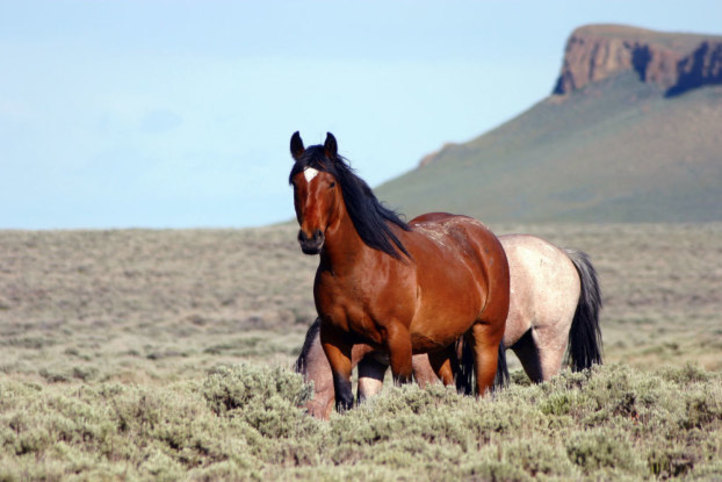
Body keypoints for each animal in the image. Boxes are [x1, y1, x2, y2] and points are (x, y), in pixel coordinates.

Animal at [289, 132, 510, 412]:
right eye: (295, 183)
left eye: (330, 183)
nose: (310, 239)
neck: (358, 269)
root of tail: (484, 235)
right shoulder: (336, 340)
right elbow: (347, 399)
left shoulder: (399, 342)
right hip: (440, 347)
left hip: (485, 335)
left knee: (482, 390)